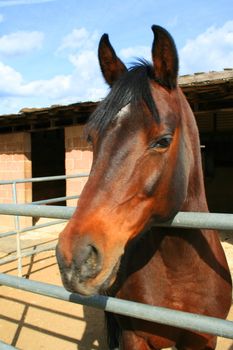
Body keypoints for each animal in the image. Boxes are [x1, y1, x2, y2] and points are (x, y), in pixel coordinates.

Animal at [55, 25, 232, 350]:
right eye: (91, 138)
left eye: (163, 140)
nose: (75, 257)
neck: (180, 273)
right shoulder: (133, 336)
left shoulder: (203, 340)